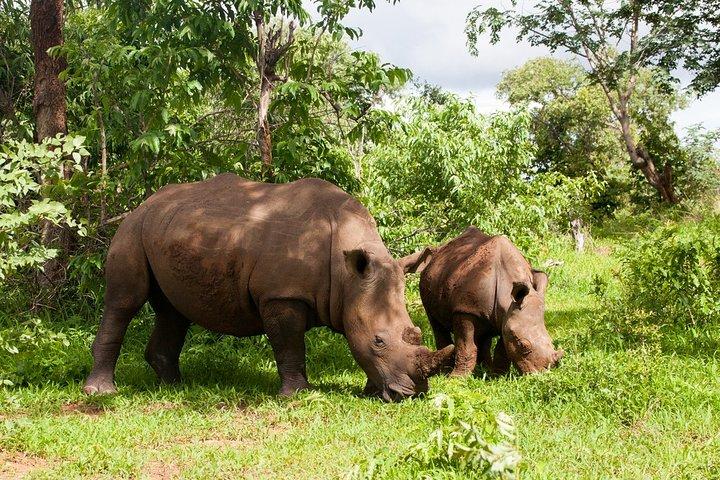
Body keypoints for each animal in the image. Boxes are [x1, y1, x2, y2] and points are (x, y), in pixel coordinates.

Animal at [83, 174, 454, 401]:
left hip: (166, 230)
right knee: (124, 301)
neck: (347, 275)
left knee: (173, 311)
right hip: (134, 229)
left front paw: (372, 391)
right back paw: (102, 393)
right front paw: (297, 395)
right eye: (378, 340)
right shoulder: (282, 295)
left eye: (415, 334)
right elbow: (289, 345)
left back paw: (175, 388)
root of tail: (144, 203)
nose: (412, 394)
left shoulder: (355, 290)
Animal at [401, 227, 563, 376]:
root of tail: (438, 251)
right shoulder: (464, 310)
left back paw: (484, 369)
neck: (507, 298)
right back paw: (446, 372)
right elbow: (465, 345)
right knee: (436, 322)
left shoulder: (508, 316)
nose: (541, 375)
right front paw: (457, 378)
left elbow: (503, 346)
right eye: (522, 345)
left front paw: (498, 375)